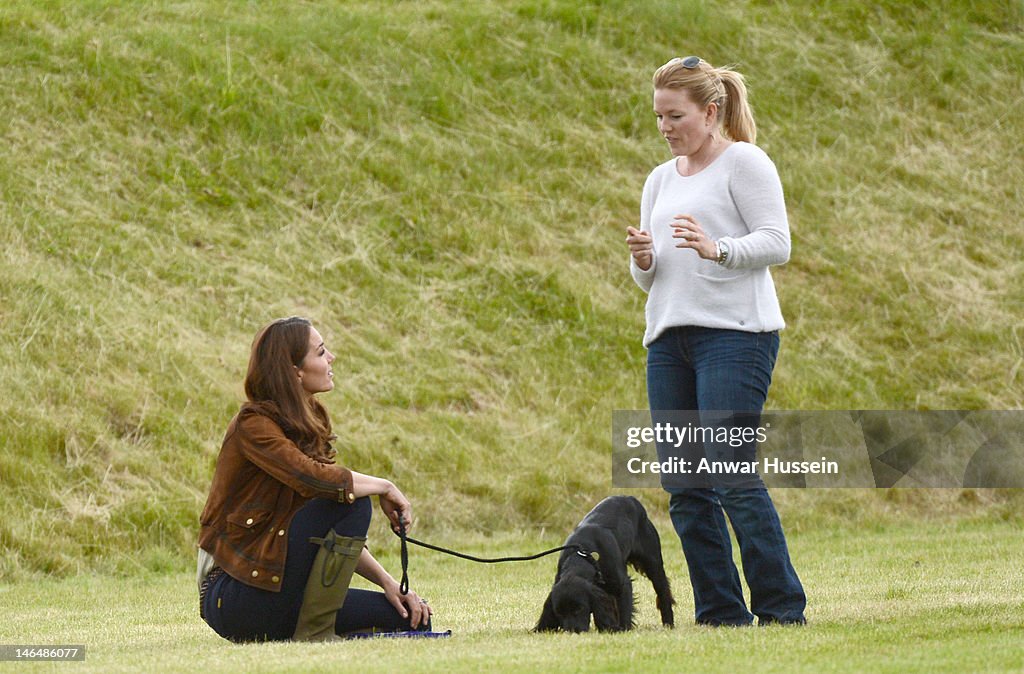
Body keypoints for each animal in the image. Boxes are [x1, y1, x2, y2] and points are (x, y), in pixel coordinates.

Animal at [536, 493, 671, 630]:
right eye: (559, 612)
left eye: (579, 608)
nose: (571, 631)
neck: (584, 555)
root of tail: (629, 497)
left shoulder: (623, 585)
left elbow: (624, 612)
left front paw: (623, 629)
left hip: (653, 564)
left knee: (663, 592)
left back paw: (669, 623)